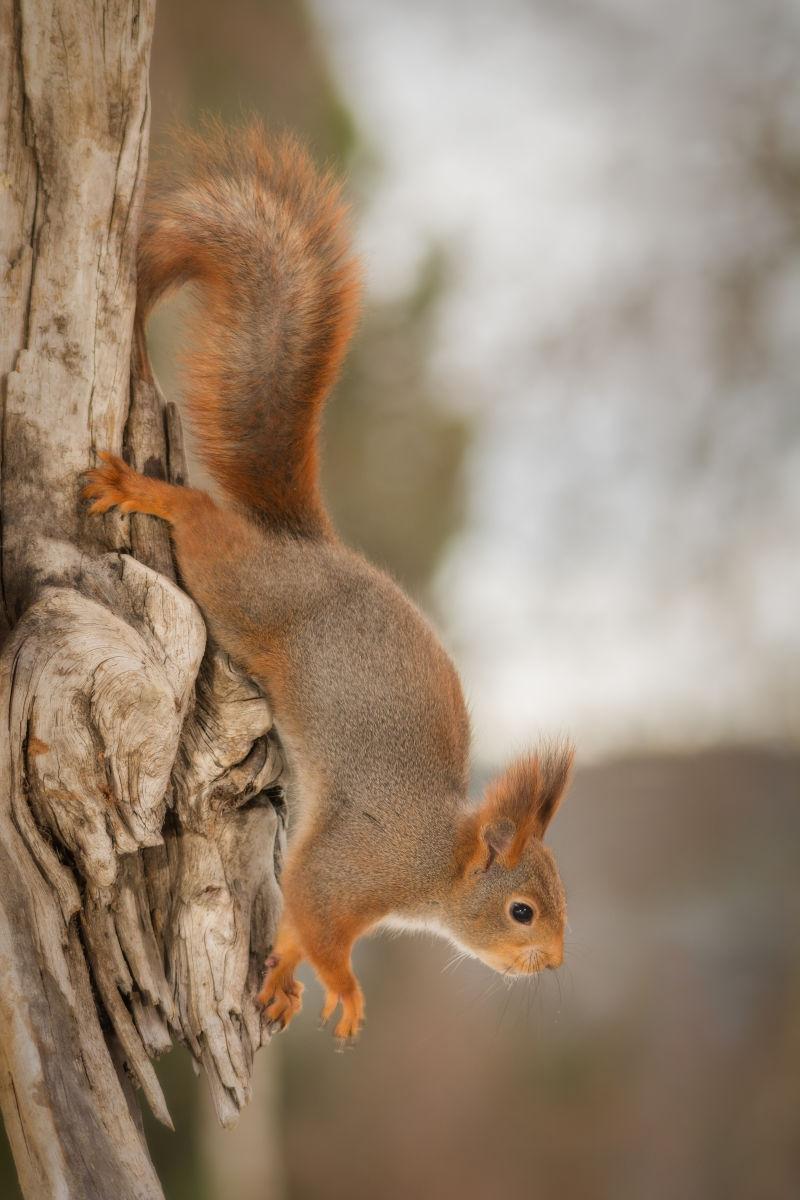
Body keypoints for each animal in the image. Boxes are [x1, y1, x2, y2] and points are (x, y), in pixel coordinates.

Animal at [84, 119, 575, 1041]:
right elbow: (316, 919)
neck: (434, 866)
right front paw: (344, 992)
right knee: (202, 525)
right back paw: (147, 492)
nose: (557, 965)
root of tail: (308, 547)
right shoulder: (351, 868)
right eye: (523, 910)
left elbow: (295, 934)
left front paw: (281, 980)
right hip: (244, 590)